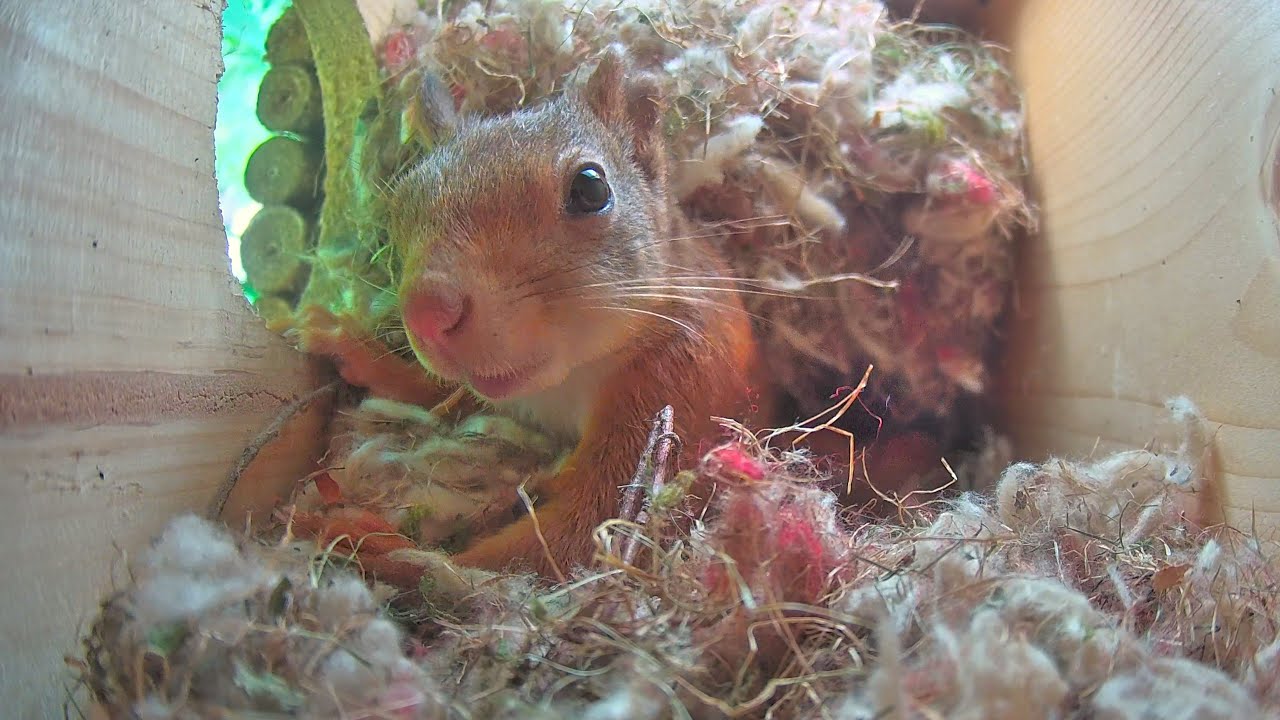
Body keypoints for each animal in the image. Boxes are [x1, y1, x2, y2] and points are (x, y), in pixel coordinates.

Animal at [298, 47, 772, 577]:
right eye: (397, 209)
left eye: (591, 188)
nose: (426, 313)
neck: (561, 387)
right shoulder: (494, 397)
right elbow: (439, 398)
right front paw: (352, 348)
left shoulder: (677, 384)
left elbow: (576, 546)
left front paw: (376, 546)